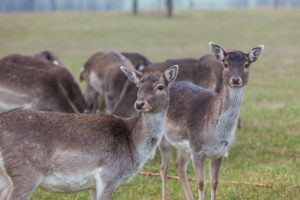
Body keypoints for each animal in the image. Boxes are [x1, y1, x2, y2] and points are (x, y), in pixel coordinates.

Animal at [0, 65, 178, 199]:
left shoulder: (94, 185)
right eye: (138, 86)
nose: (140, 103)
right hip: (25, 172)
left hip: (6, 178)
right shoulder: (109, 175)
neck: (133, 144)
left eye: (160, 87)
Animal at [159, 41, 262, 199]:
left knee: (179, 166)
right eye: (225, 64)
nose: (235, 79)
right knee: (164, 168)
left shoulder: (219, 152)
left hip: (184, 147)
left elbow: (214, 183)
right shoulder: (197, 150)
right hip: (163, 139)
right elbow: (201, 183)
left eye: (246, 64)